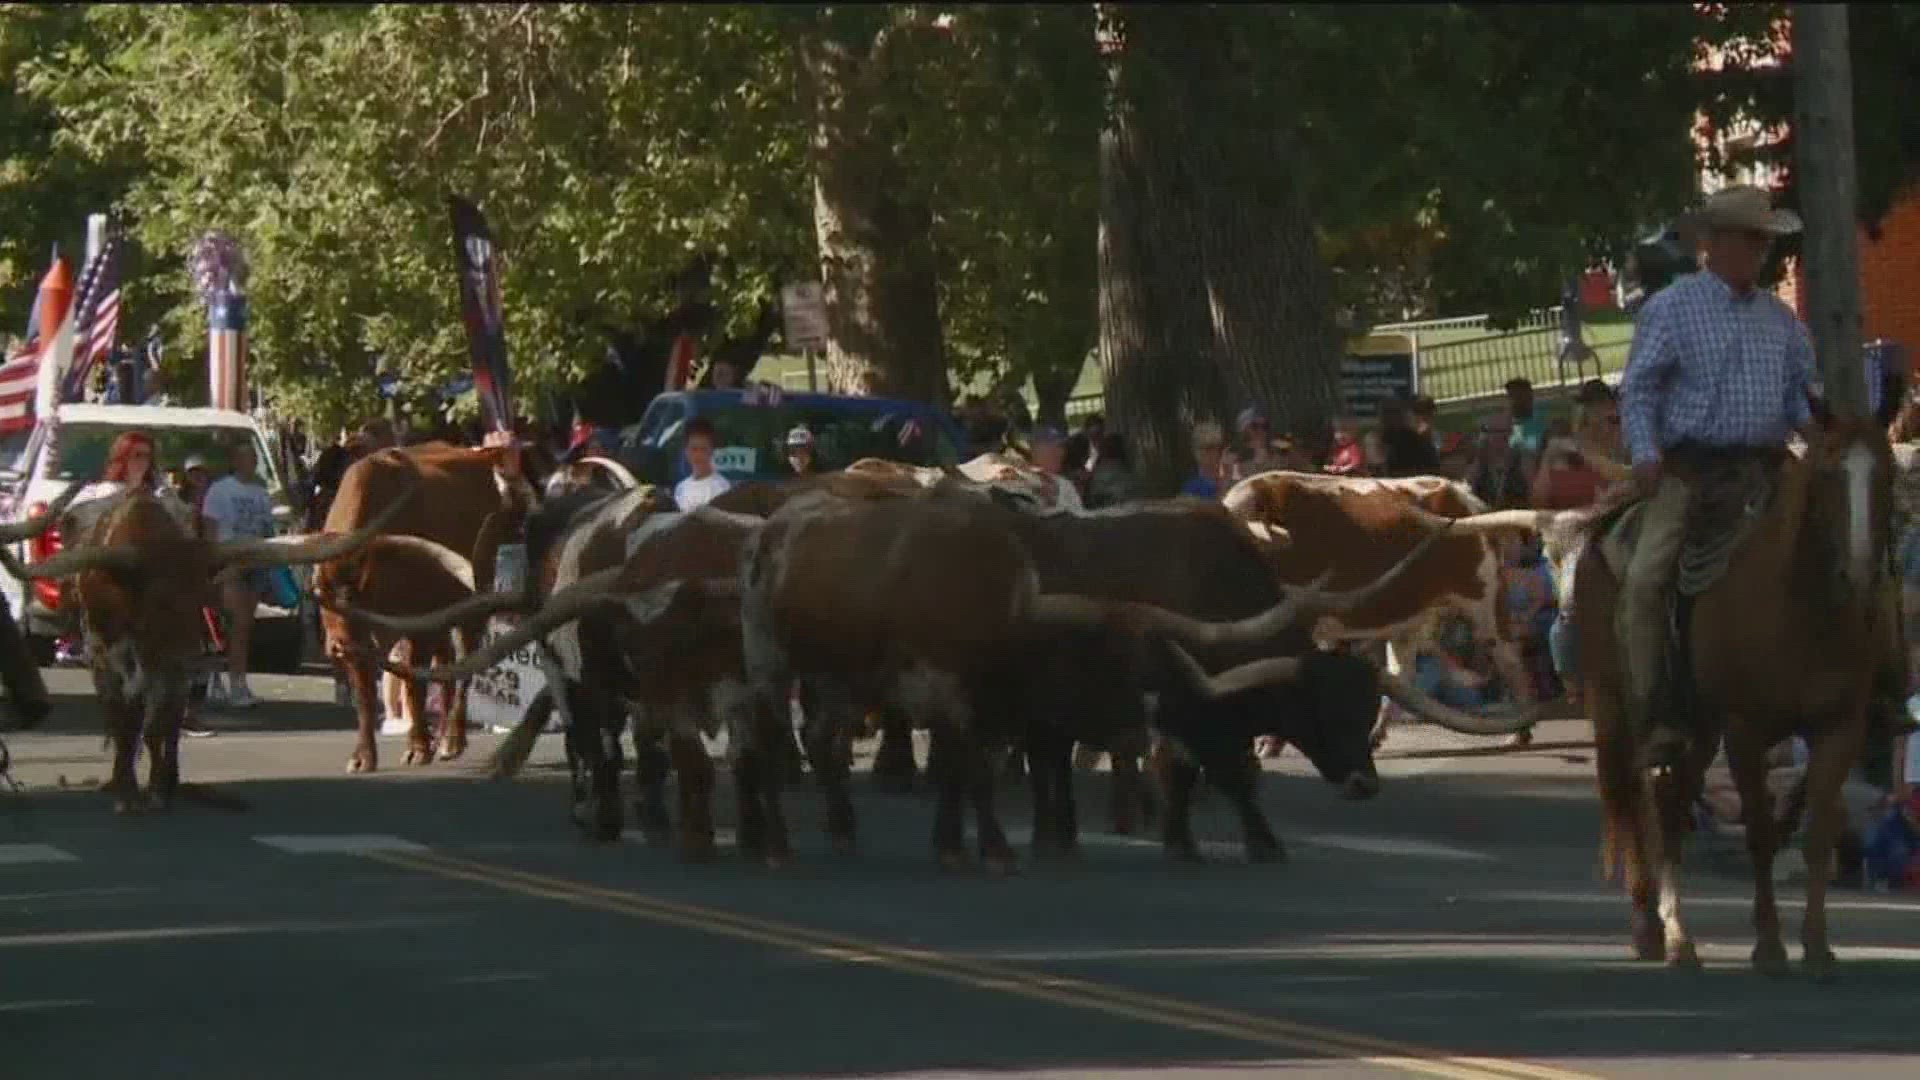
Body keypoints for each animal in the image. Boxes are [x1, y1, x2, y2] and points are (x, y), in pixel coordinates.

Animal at [1574, 409, 1889, 976]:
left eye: (1890, 473)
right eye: (1827, 474)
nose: (1858, 575)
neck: (1800, 609)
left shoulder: (1839, 728)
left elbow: (1818, 833)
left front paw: (1817, 947)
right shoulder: (1746, 730)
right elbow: (1760, 833)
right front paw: (1769, 946)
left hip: (1698, 729)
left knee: (1670, 807)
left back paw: (1677, 936)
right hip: (1613, 708)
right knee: (1632, 799)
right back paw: (1654, 930)